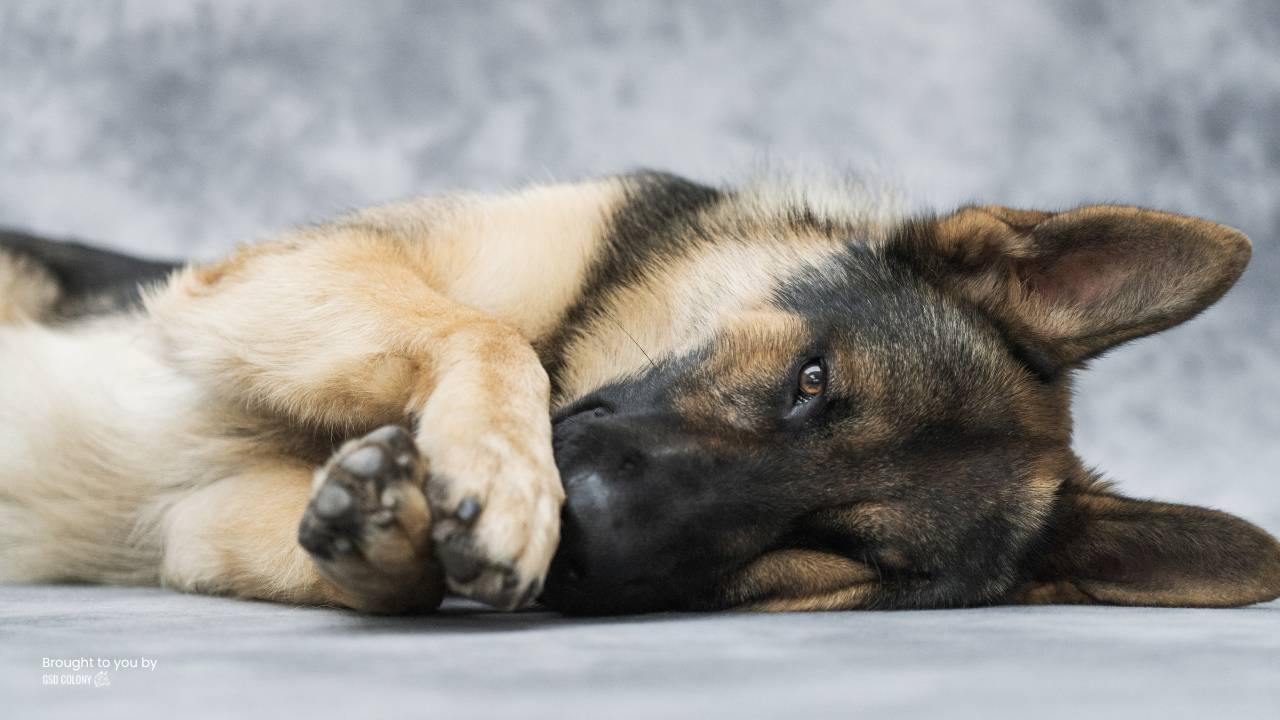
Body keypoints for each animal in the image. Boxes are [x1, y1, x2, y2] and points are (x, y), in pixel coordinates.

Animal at [0, 169, 1274, 609]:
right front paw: (501, 474)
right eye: (810, 380)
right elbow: (490, 338)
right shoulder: (271, 277)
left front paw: (385, 532)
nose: (587, 534)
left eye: (838, 551)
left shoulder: (193, 522)